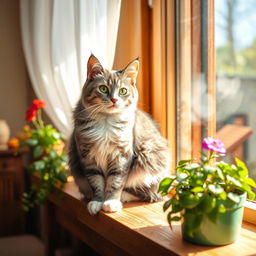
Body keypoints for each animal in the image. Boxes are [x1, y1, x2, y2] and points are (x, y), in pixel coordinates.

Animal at [69, 55, 171, 215]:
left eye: (123, 91)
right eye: (103, 88)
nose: (114, 100)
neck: (106, 122)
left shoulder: (122, 155)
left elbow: (116, 182)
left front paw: (111, 202)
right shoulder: (88, 156)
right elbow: (96, 182)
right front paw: (97, 202)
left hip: (148, 159)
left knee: (148, 194)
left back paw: (124, 197)